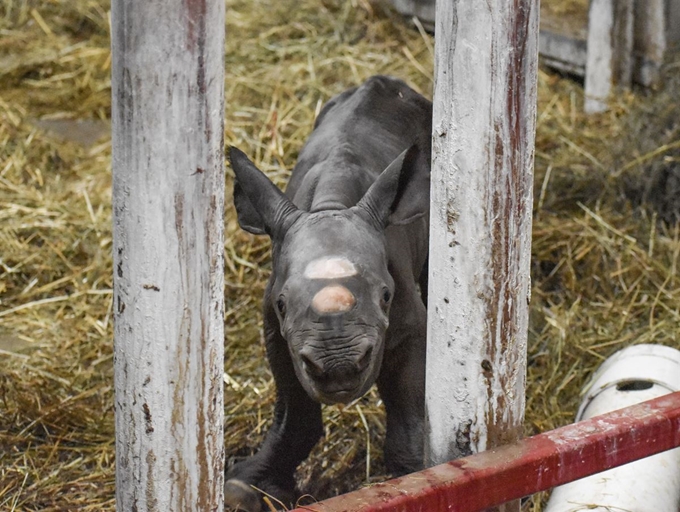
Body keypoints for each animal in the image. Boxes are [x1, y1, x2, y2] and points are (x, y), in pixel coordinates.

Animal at [227, 76, 430, 512]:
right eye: (283, 305)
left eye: (385, 296)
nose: (338, 367)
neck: (331, 205)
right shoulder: (277, 330)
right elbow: (295, 409)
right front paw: (246, 489)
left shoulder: (408, 323)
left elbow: (408, 412)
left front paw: (418, 477)